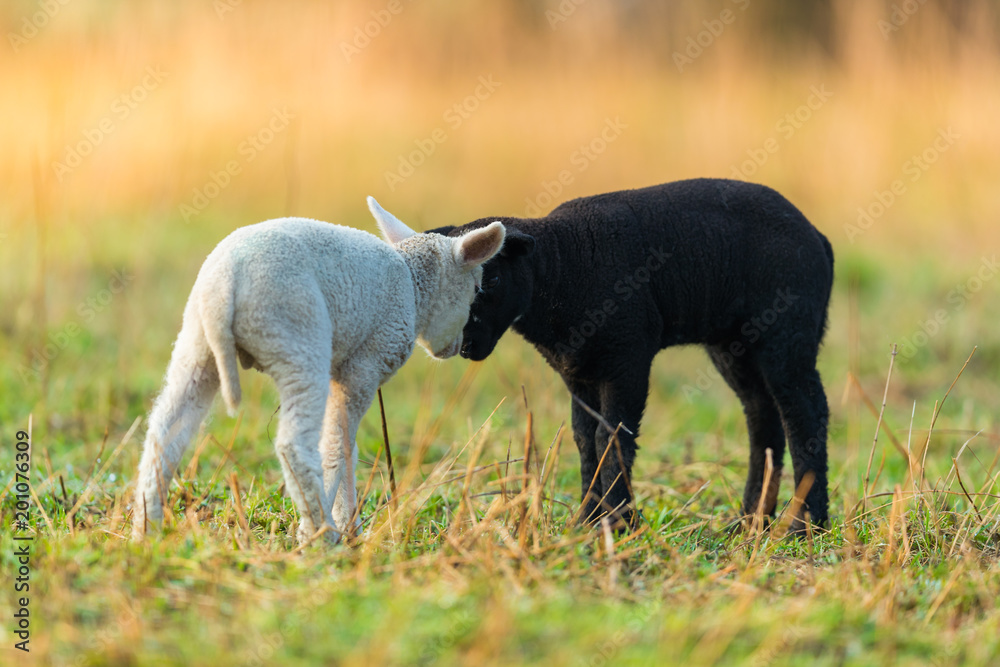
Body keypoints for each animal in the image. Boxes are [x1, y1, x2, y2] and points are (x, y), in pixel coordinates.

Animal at [131, 201, 508, 544]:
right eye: (477, 289)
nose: (458, 349)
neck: (415, 289)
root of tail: (225, 284)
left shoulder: (341, 372)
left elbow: (346, 446)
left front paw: (350, 525)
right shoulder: (364, 366)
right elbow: (338, 445)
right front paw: (341, 526)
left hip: (197, 347)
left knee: (164, 433)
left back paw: (145, 531)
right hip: (298, 340)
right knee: (294, 445)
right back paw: (319, 533)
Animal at [434, 177, 832, 532]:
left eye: (493, 280)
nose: (464, 346)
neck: (565, 268)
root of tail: (819, 237)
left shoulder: (627, 358)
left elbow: (611, 438)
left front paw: (616, 522)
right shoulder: (578, 371)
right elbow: (585, 439)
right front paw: (586, 521)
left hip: (788, 332)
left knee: (805, 415)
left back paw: (806, 526)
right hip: (735, 346)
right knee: (762, 417)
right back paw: (751, 521)